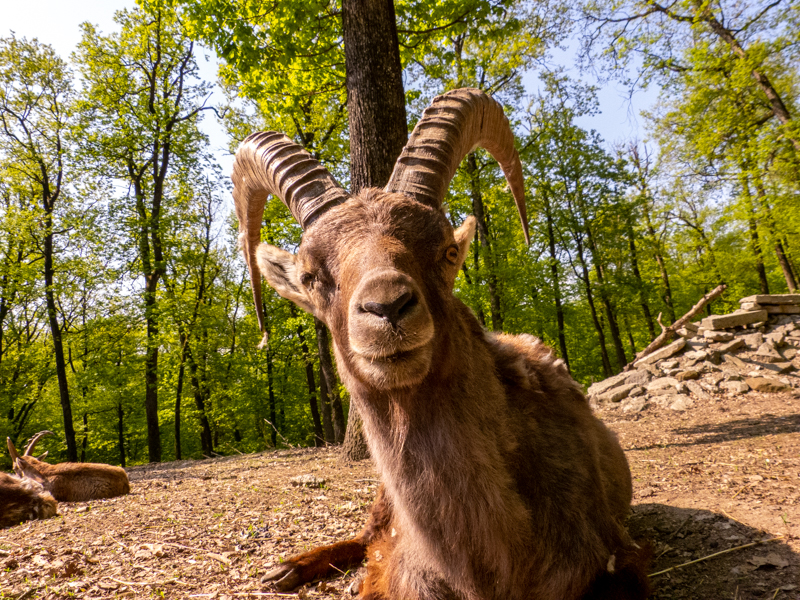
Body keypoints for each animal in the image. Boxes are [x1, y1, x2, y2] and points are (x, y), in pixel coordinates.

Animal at [233, 88, 650, 600]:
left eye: (449, 251)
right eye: (311, 276)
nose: (387, 307)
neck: (487, 559)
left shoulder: (618, 555)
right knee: (364, 534)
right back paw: (287, 568)